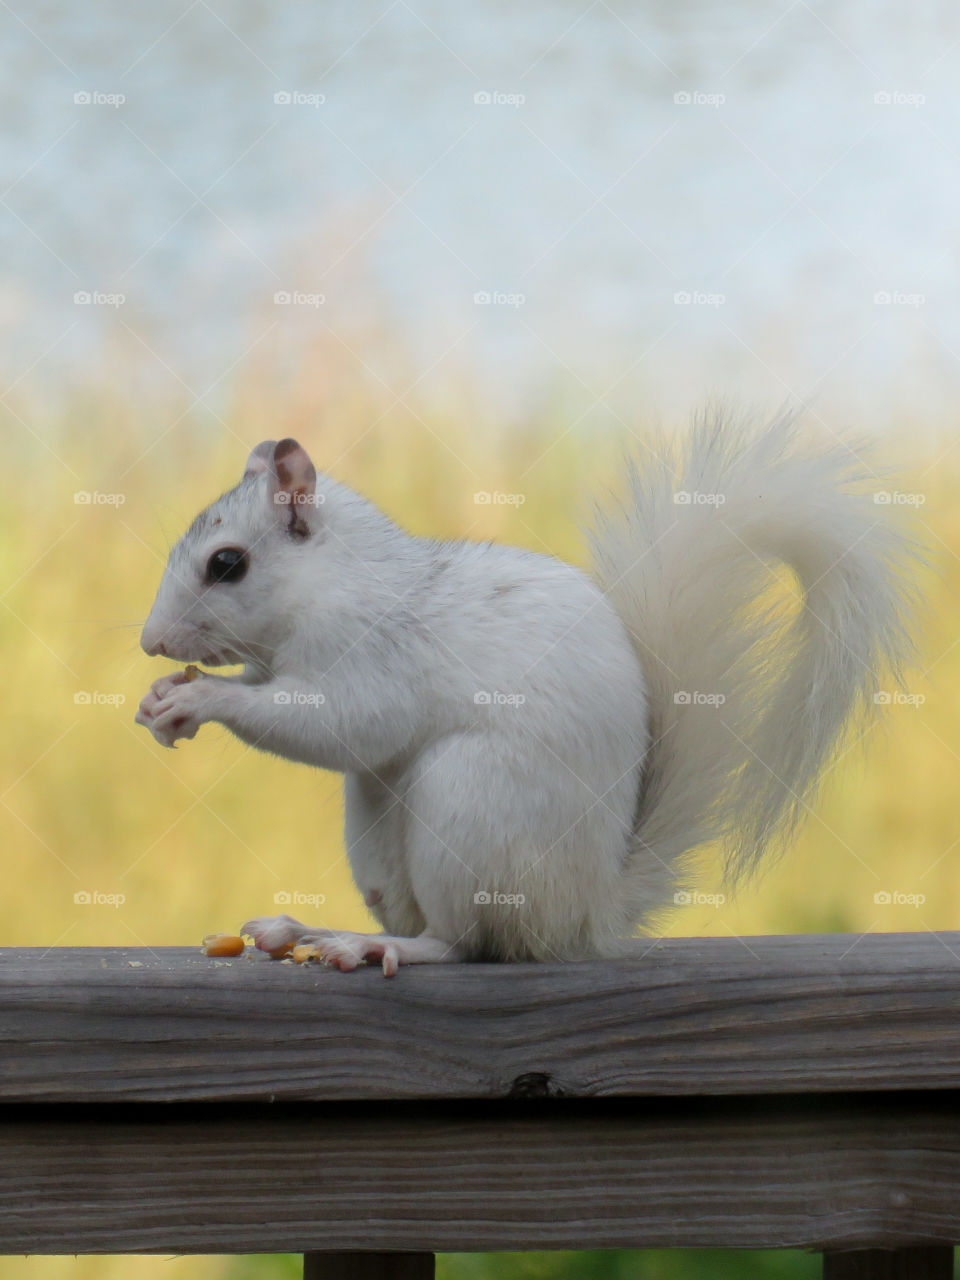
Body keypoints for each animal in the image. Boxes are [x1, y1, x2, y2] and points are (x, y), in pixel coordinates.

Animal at [135, 414, 916, 972]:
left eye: (227, 564)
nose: (151, 642)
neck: (328, 578)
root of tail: (585, 912)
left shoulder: (373, 656)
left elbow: (342, 726)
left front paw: (199, 700)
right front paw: (159, 698)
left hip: (471, 805)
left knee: (462, 941)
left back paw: (376, 947)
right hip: (379, 846)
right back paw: (302, 928)